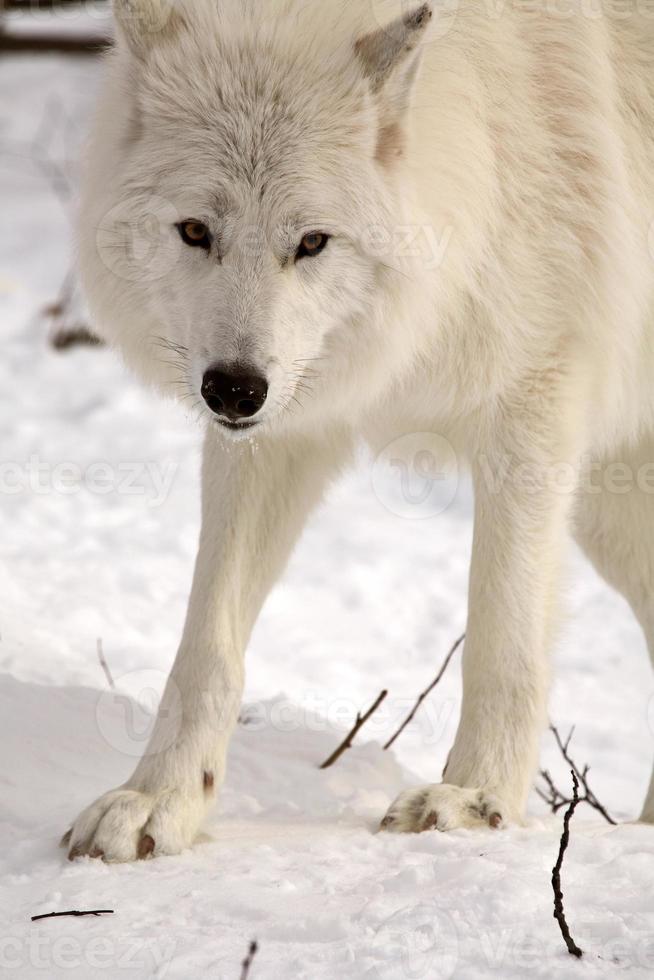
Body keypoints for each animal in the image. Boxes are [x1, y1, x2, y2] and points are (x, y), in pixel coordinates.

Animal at [65, 0, 654, 856]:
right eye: (195, 230)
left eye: (312, 241)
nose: (233, 390)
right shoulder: (279, 426)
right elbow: (206, 644)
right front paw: (159, 799)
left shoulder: (535, 402)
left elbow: (502, 634)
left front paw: (475, 798)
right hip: (612, 508)